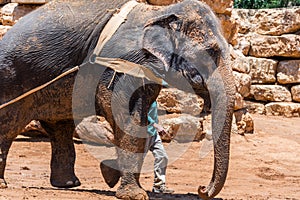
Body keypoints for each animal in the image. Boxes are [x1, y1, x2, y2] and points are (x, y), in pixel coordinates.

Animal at [0, 0, 236, 199]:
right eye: (211, 52)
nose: (202, 189)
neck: (159, 12)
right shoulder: (122, 64)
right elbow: (127, 117)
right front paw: (134, 194)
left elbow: (140, 122)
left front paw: (113, 176)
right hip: (12, 79)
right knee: (9, 126)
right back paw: (4, 184)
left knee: (60, 128)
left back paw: (68, 184)